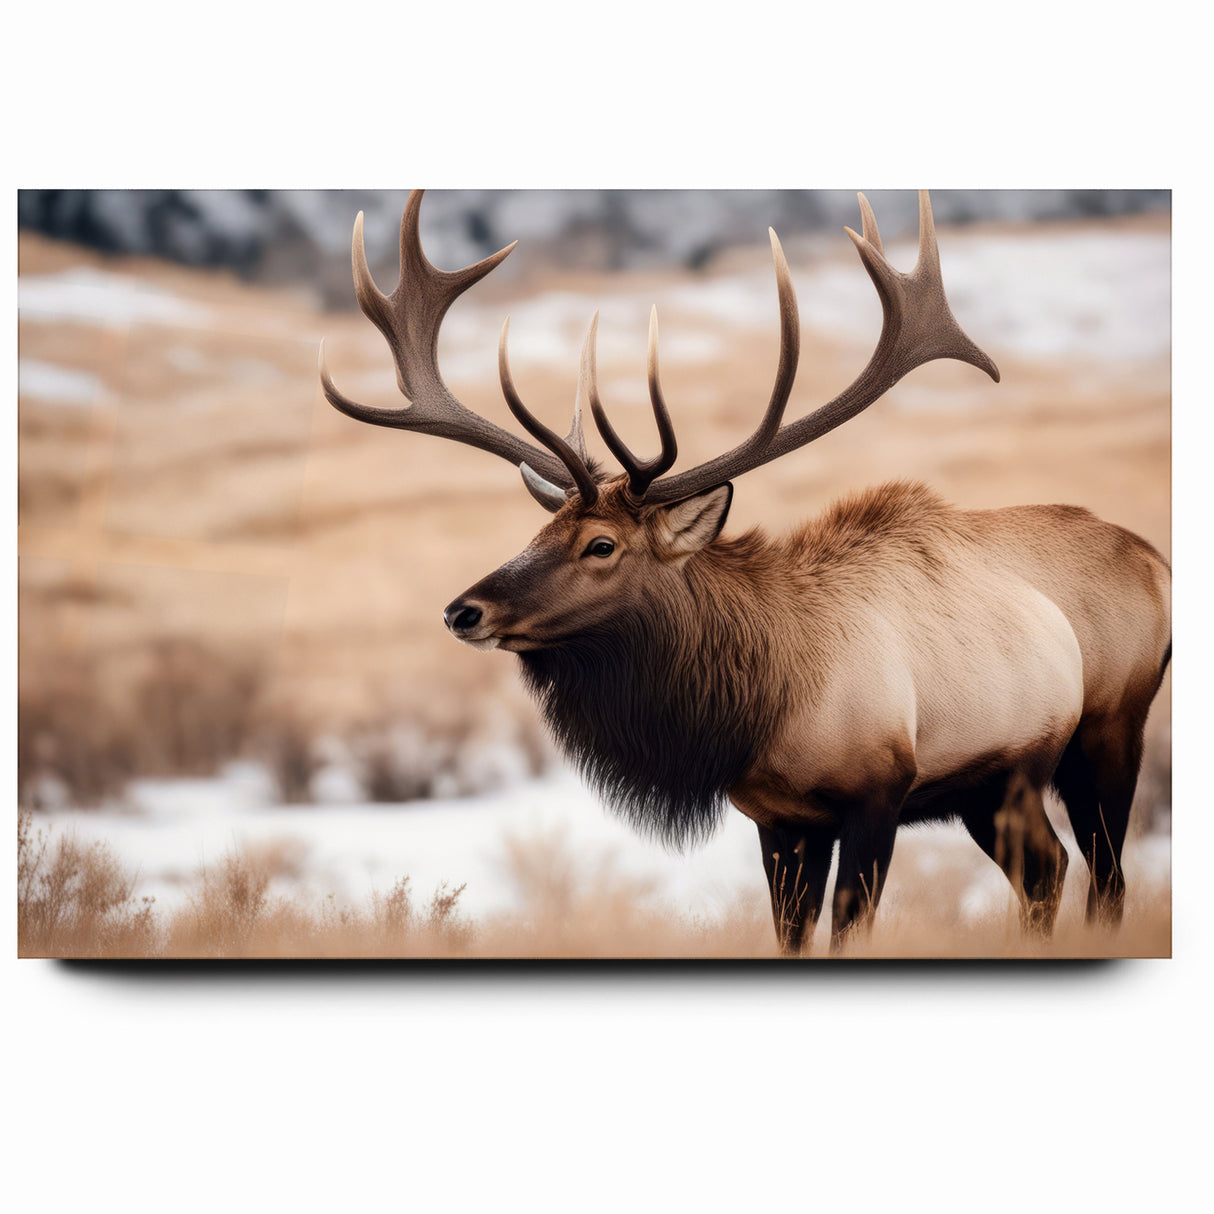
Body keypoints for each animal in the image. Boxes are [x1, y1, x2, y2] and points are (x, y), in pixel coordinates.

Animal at [319, 190, 1171, 954]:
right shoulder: (778, 817)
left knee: (1105, 875)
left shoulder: (879, 792)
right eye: (542, 527)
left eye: (601, 545)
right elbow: (790, 936)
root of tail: (1156, 559)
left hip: (1104, 732)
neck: (761, 708)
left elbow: (850, 932)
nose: (464, 610)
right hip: (993, 785)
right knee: (1049, 873)